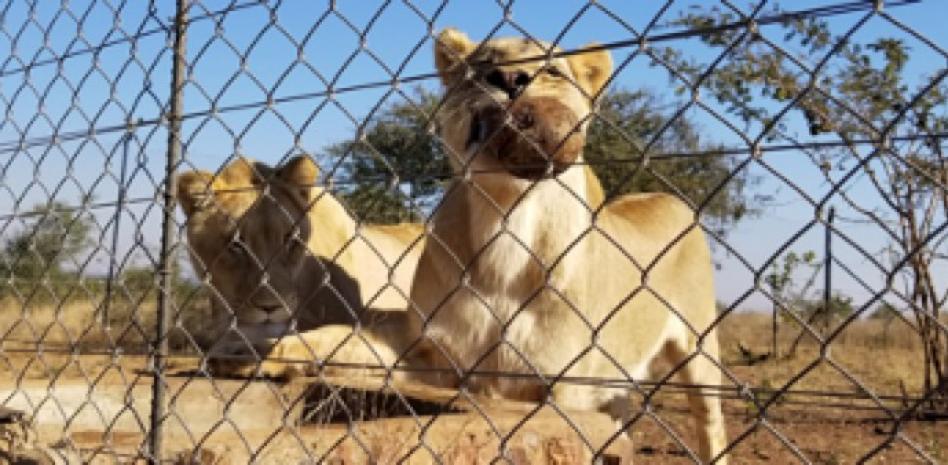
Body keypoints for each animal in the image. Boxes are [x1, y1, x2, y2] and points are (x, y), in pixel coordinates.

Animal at [406, 29, 728, 463]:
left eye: (553, 71)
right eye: (482, 66)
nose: (511, 80)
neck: (506, 215)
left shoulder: (563, 382)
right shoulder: (451, 367)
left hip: (699, 352)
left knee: (711, 423)